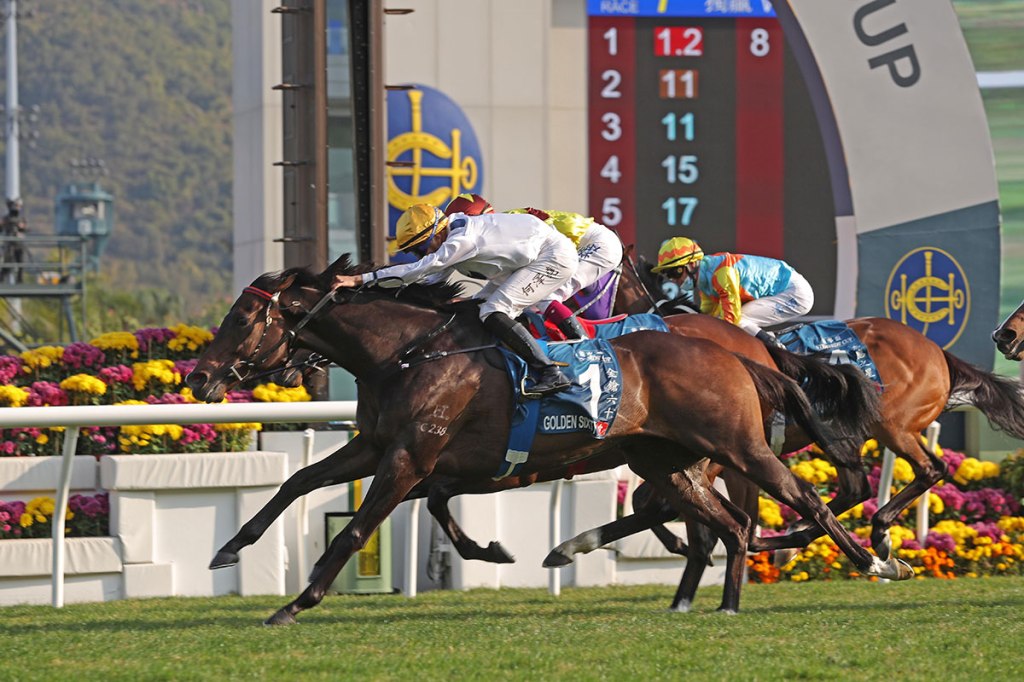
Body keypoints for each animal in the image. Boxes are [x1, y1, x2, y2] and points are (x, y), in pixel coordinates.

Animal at [185, 256, 908, 623]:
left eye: (244, 317)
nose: (199, 376)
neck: (410, 350)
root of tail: (741, 351)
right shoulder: (380, 448)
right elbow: (298, 480)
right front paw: (229, 548)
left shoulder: (411, 456)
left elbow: (358, 527)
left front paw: (297, 602)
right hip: (668, 460)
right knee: (724, 522)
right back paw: (715, 602)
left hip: (738, 448)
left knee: (793, 504)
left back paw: (875, 562)